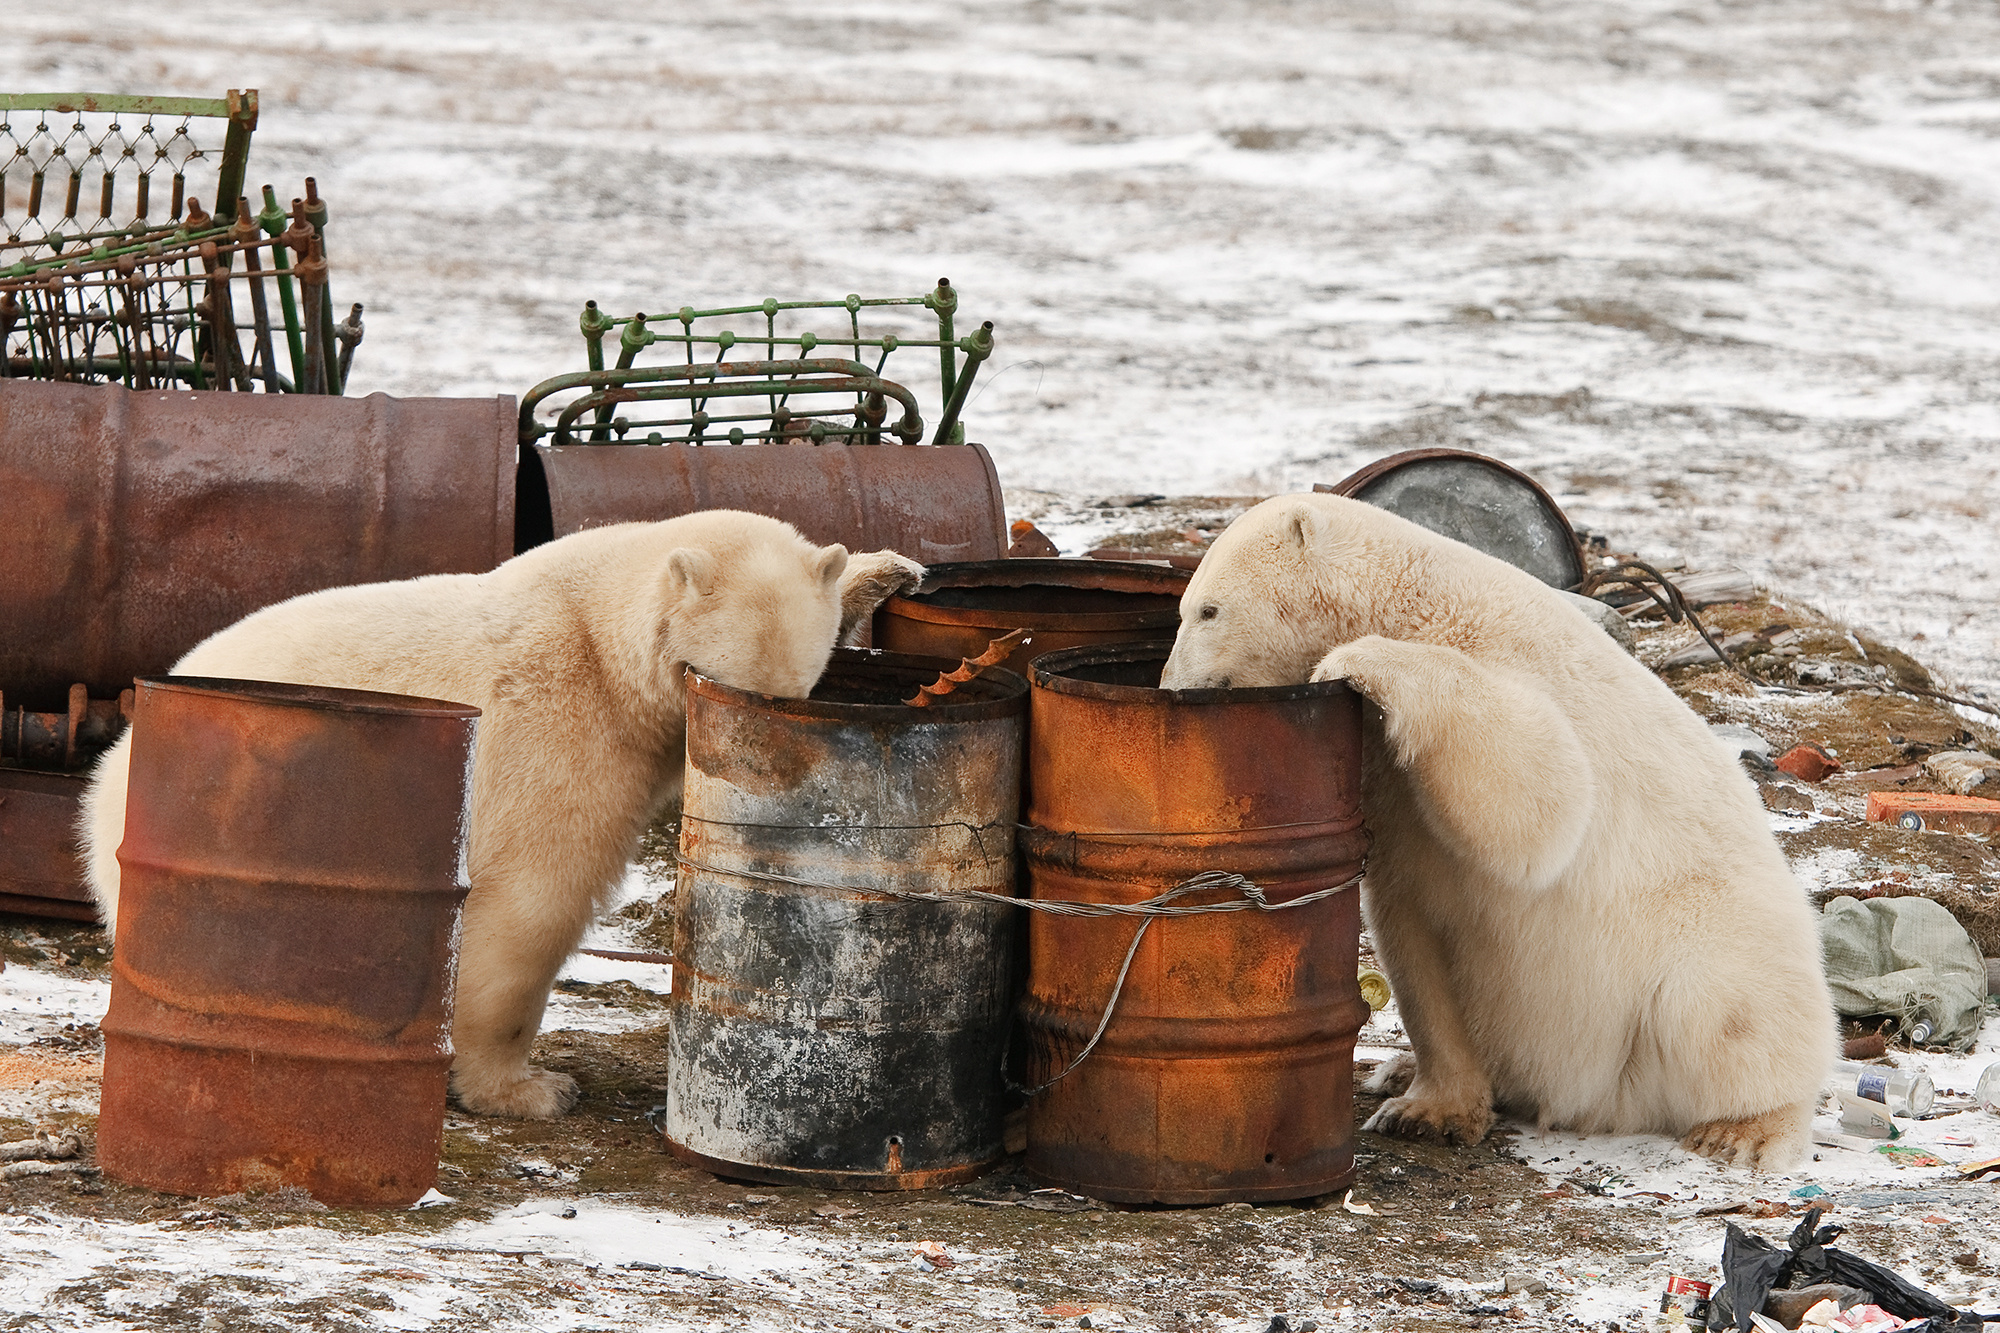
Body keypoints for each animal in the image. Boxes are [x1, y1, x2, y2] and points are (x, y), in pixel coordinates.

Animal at [78, 512, 920, 1112]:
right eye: (720, 681)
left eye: (797, 689)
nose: (769, 761)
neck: (600, 637)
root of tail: (107, 784)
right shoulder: (564, 737)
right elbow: (532, 907)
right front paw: (530, 1089)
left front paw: (886, 570)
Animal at [1168, 492, 1832, 1168]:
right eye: (1185, 608)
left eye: (1209, 609)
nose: (1173, 688)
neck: (1410, 599)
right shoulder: (1390, 800)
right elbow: (1416, 941)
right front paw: (1423, 1111)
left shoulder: (1514, 665)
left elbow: (1544, 793)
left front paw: (1354, 658)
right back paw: (1396, 1070)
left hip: (1709, 944)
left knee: (1725, 1014)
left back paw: (1743, 1130)